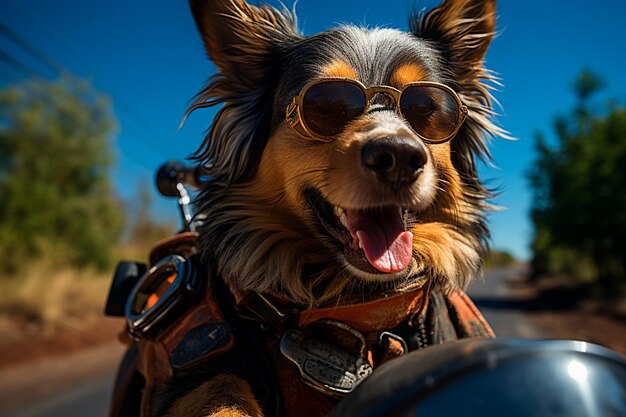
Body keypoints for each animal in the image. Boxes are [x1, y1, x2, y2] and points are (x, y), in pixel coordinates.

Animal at [135, 0, 502, 416]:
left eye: (428, 108)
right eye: (326, 105)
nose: (399, 155)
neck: (356, 312)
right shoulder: (196, 373)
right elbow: (220, 390)